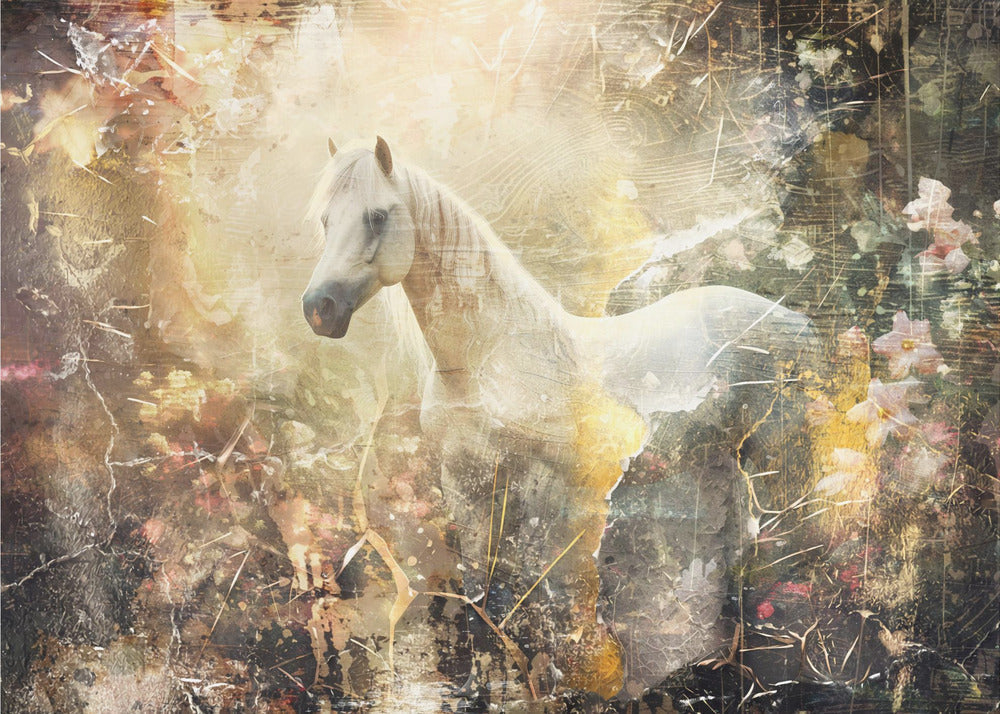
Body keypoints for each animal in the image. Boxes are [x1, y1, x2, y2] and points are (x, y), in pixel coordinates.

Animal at [302, 137, 817, 702]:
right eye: (325, 219)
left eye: (376, 215)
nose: (319, 308)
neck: (488, 363)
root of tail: (794, 318)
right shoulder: (465, 485)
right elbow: (482, 590)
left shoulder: (550, 491)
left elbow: (553, 593)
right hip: (718, 466)